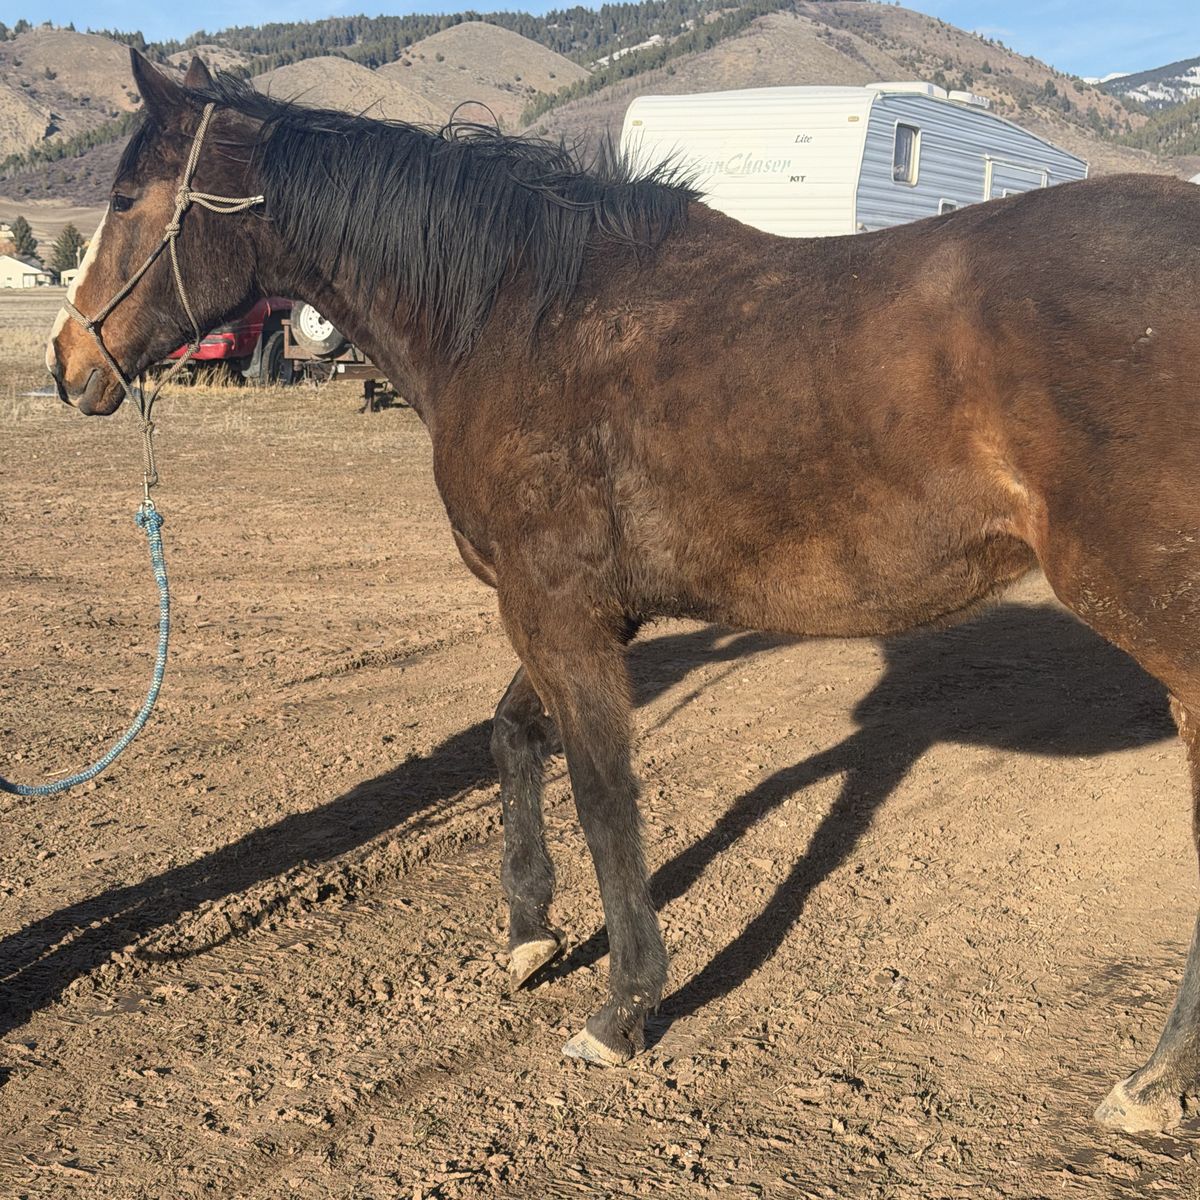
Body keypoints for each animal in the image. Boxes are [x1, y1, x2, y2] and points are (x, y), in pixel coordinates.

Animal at [45, 49, 1200, 1135]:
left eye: (125, 197)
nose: (66, 366)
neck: (519, 314)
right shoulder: (591, 610)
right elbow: (512, 737)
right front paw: (530, 933)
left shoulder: (555, 607)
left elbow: (603, 792)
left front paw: (624, 1008)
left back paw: (1151, 1082)